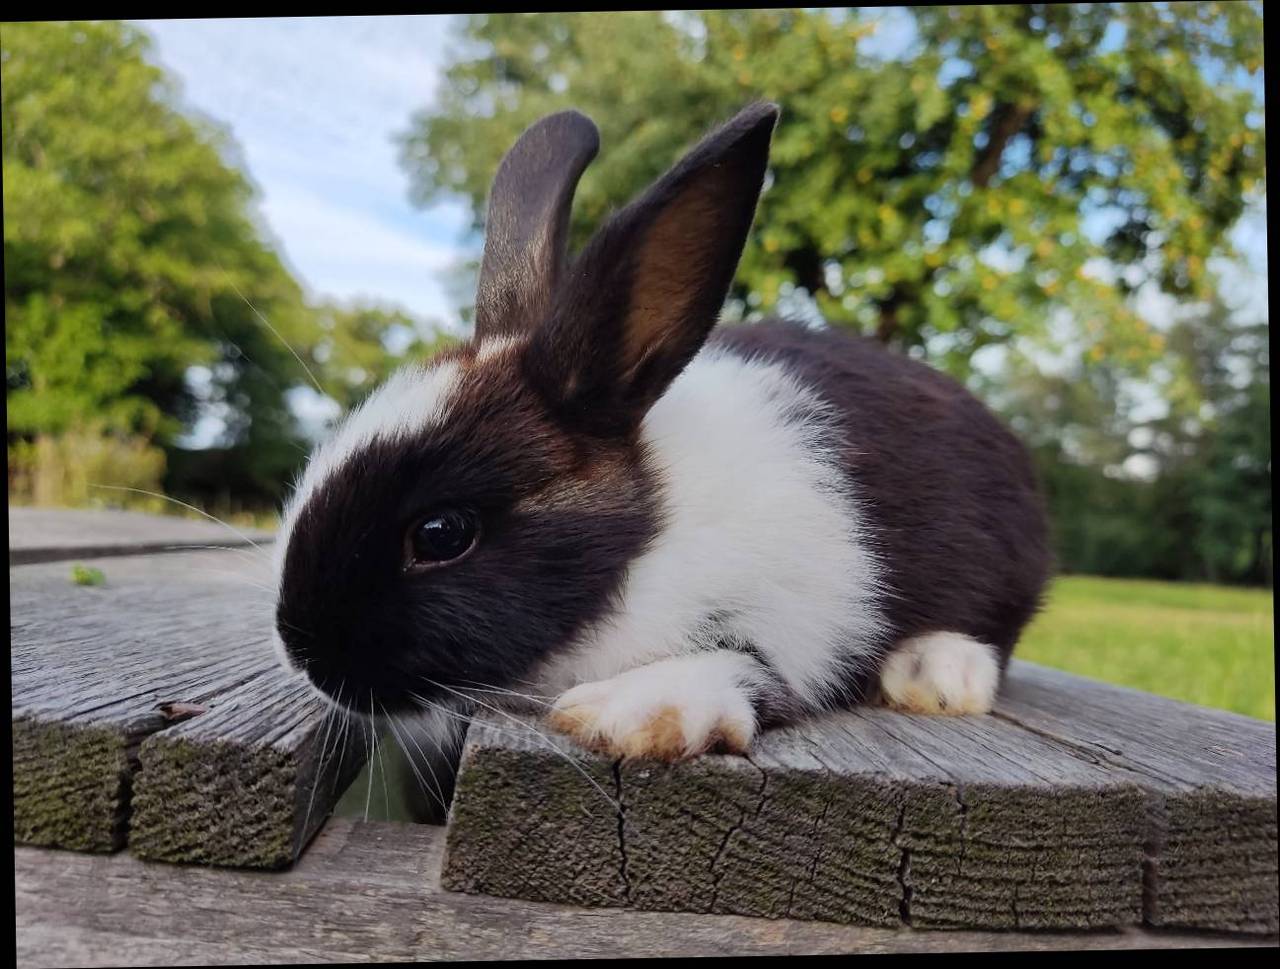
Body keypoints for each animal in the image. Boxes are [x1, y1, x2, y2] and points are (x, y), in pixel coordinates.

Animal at [270, 100, 1049, 762]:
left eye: (440, 534)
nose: (303, 653)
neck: (652, 538)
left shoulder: (809, 611)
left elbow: (742, 664)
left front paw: (629, 713)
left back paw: (936, 674)